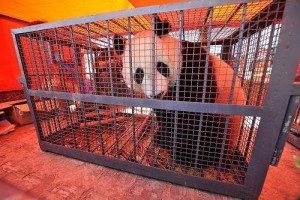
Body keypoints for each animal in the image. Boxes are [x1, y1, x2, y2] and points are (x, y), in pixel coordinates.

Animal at [113, 16, 245, 169]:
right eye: (139, 74)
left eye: (161, 66)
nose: (157, 94)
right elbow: (166, 115)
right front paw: (163, 135)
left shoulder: (195, 66)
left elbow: (192, 110)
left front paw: (172, 142)